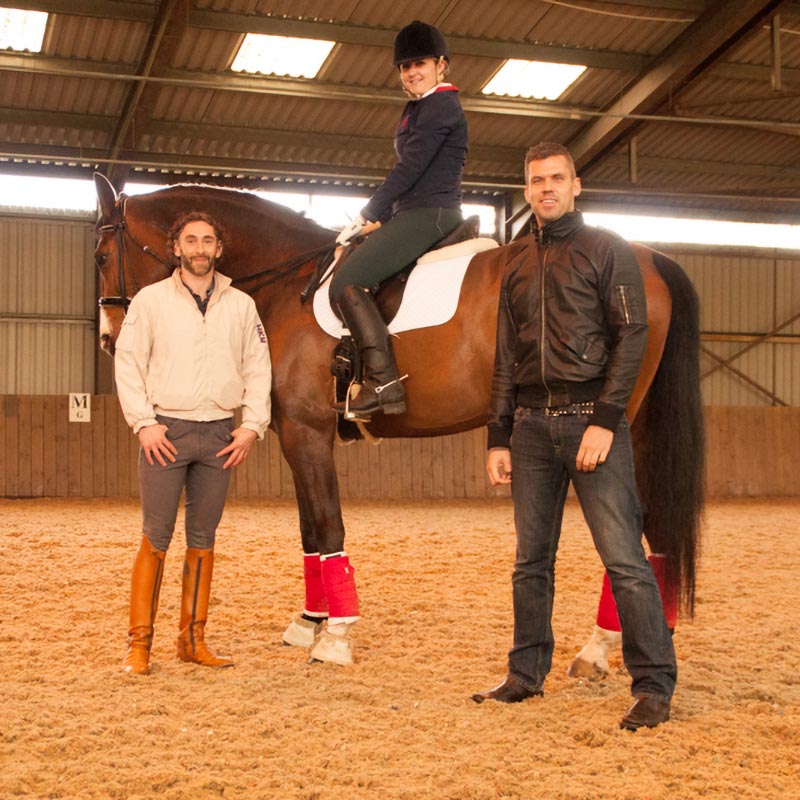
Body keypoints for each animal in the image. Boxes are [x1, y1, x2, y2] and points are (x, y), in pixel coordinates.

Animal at [94, 175, 704, 668]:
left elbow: (328, 525)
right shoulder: (296, 435)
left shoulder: (308, 432)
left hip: (604, 432)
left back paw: (599, 648)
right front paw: (310, 622)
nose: (109, 341)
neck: (289, 283)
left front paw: (336, 635)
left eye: (100, 255)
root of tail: (648, 255)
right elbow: (310, 530)